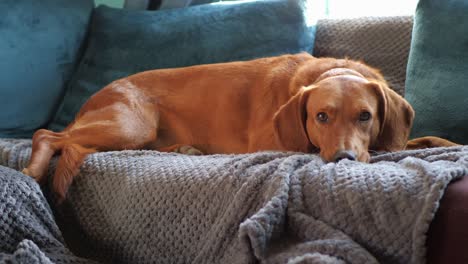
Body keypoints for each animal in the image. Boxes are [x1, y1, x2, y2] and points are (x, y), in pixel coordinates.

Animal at [21, 53, 458, 200]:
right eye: (321, 117)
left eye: (365, 116)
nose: (344, 158)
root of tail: (91, 99)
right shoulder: (274, 141)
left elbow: (420, 138)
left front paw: (444, 141)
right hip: (131, 125)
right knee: (47, 135)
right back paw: (32, 169)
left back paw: (185, 149)